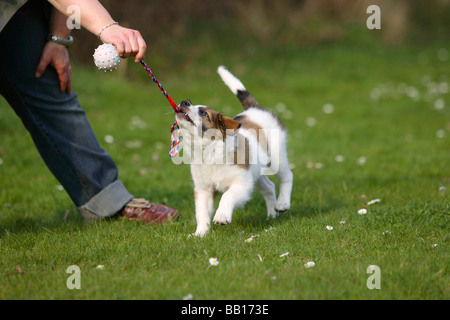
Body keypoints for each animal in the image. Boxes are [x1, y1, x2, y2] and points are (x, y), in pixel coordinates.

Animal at [174, 66, 294, 236]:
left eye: (204, 113)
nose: (185, 101)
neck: (209, 151)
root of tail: (254, 109)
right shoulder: (203, 190)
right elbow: (202, 213)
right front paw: (200, 233)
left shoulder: (241, 184)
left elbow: (227, 196)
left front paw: (221, 216)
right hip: (256, 173)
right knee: (269, 187)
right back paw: (271, 216)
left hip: (277, 157)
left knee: (287, 176)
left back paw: (282, 203)